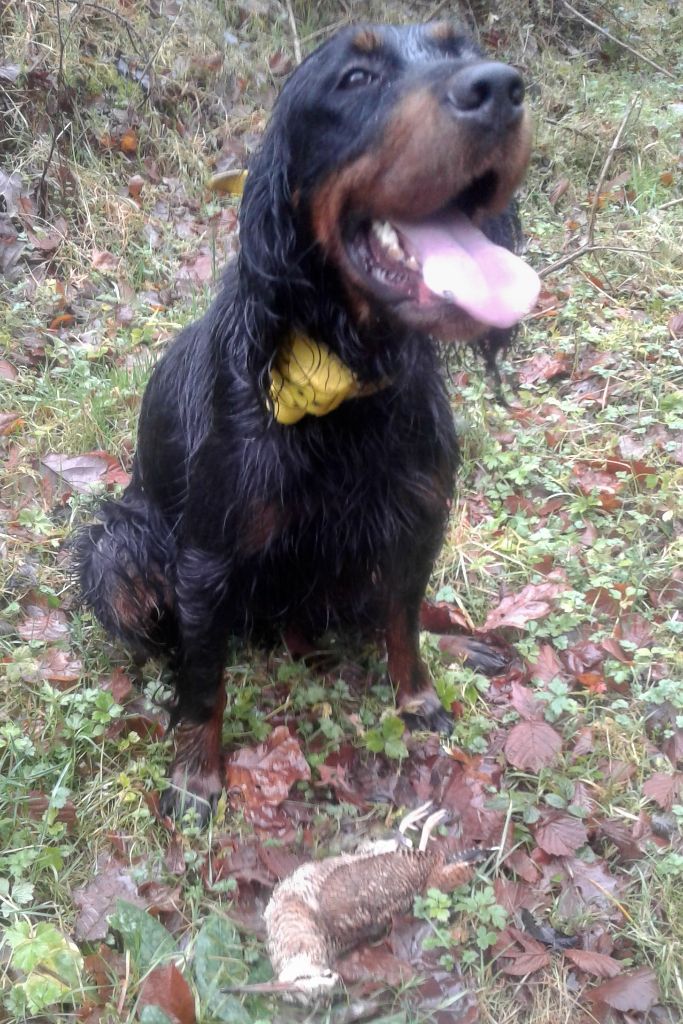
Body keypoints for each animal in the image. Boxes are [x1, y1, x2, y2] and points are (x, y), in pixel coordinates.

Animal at [77, 24, 540, 819]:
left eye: (460, 45)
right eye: (354, 78)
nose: (500, 88)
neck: (346, 379)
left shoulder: (416, 516)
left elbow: (402, 618)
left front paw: (417, 697)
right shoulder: (206, 559)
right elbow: (204, 680)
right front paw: (195, 774)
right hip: (119, 545)